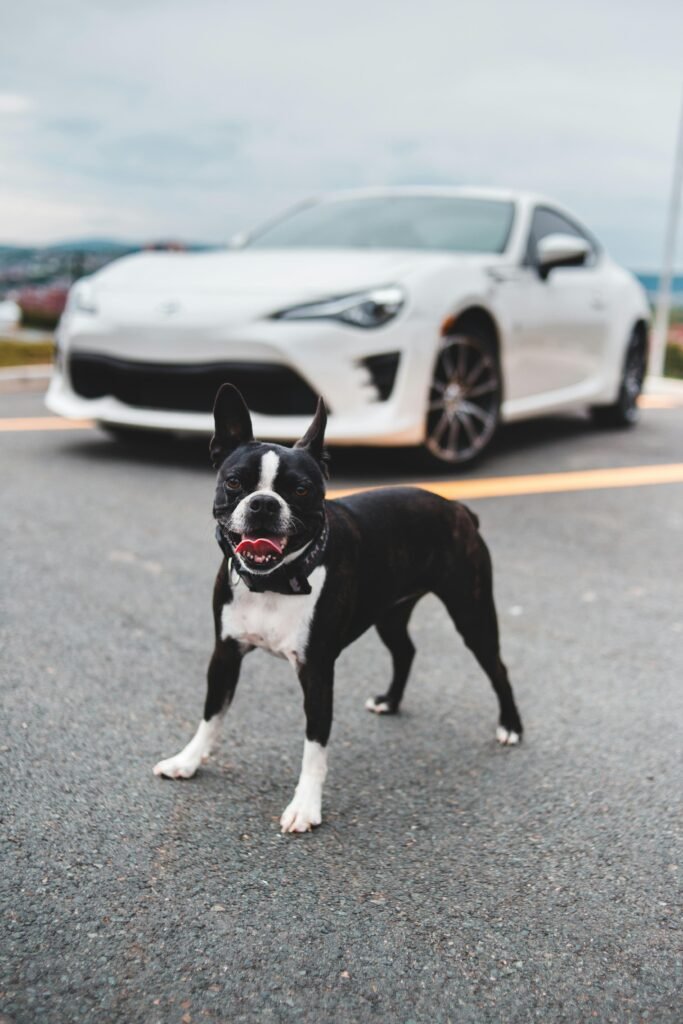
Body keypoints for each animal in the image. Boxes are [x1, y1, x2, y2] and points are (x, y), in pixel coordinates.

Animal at [152, 385, 520, 831]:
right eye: (235, 482)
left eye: (300, 490)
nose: (263, 503)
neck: (275, 582)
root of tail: (458, 509)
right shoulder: (224, 654)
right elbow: (212, 713)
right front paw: (187, 760)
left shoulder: (316, 671)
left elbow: (314, 743)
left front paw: (305, 806)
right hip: (390, 613)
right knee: (405, 650)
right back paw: (390, 701)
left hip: (471, 612)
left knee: (497, 667)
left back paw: (510, 726)